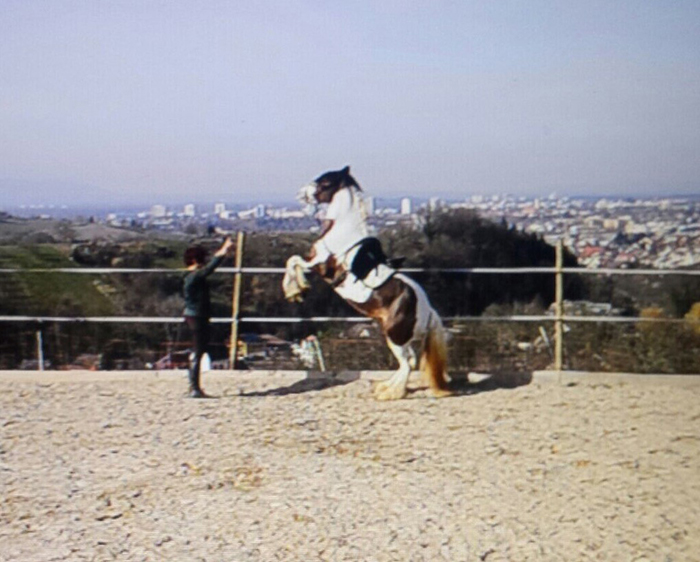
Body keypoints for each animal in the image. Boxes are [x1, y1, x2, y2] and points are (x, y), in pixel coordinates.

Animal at [282, 166, 451, 401]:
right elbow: (293, 260)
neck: (343, 233)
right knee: (409, 361)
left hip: (395, 335)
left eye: (325, 183)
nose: (301, 194)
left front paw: (295, 289)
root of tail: (428, 311)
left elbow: (293, 260)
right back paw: (385, 387)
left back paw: (389, 393)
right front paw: (296, 289)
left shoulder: (321, 265)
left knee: (407, 364)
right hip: (396, 336)